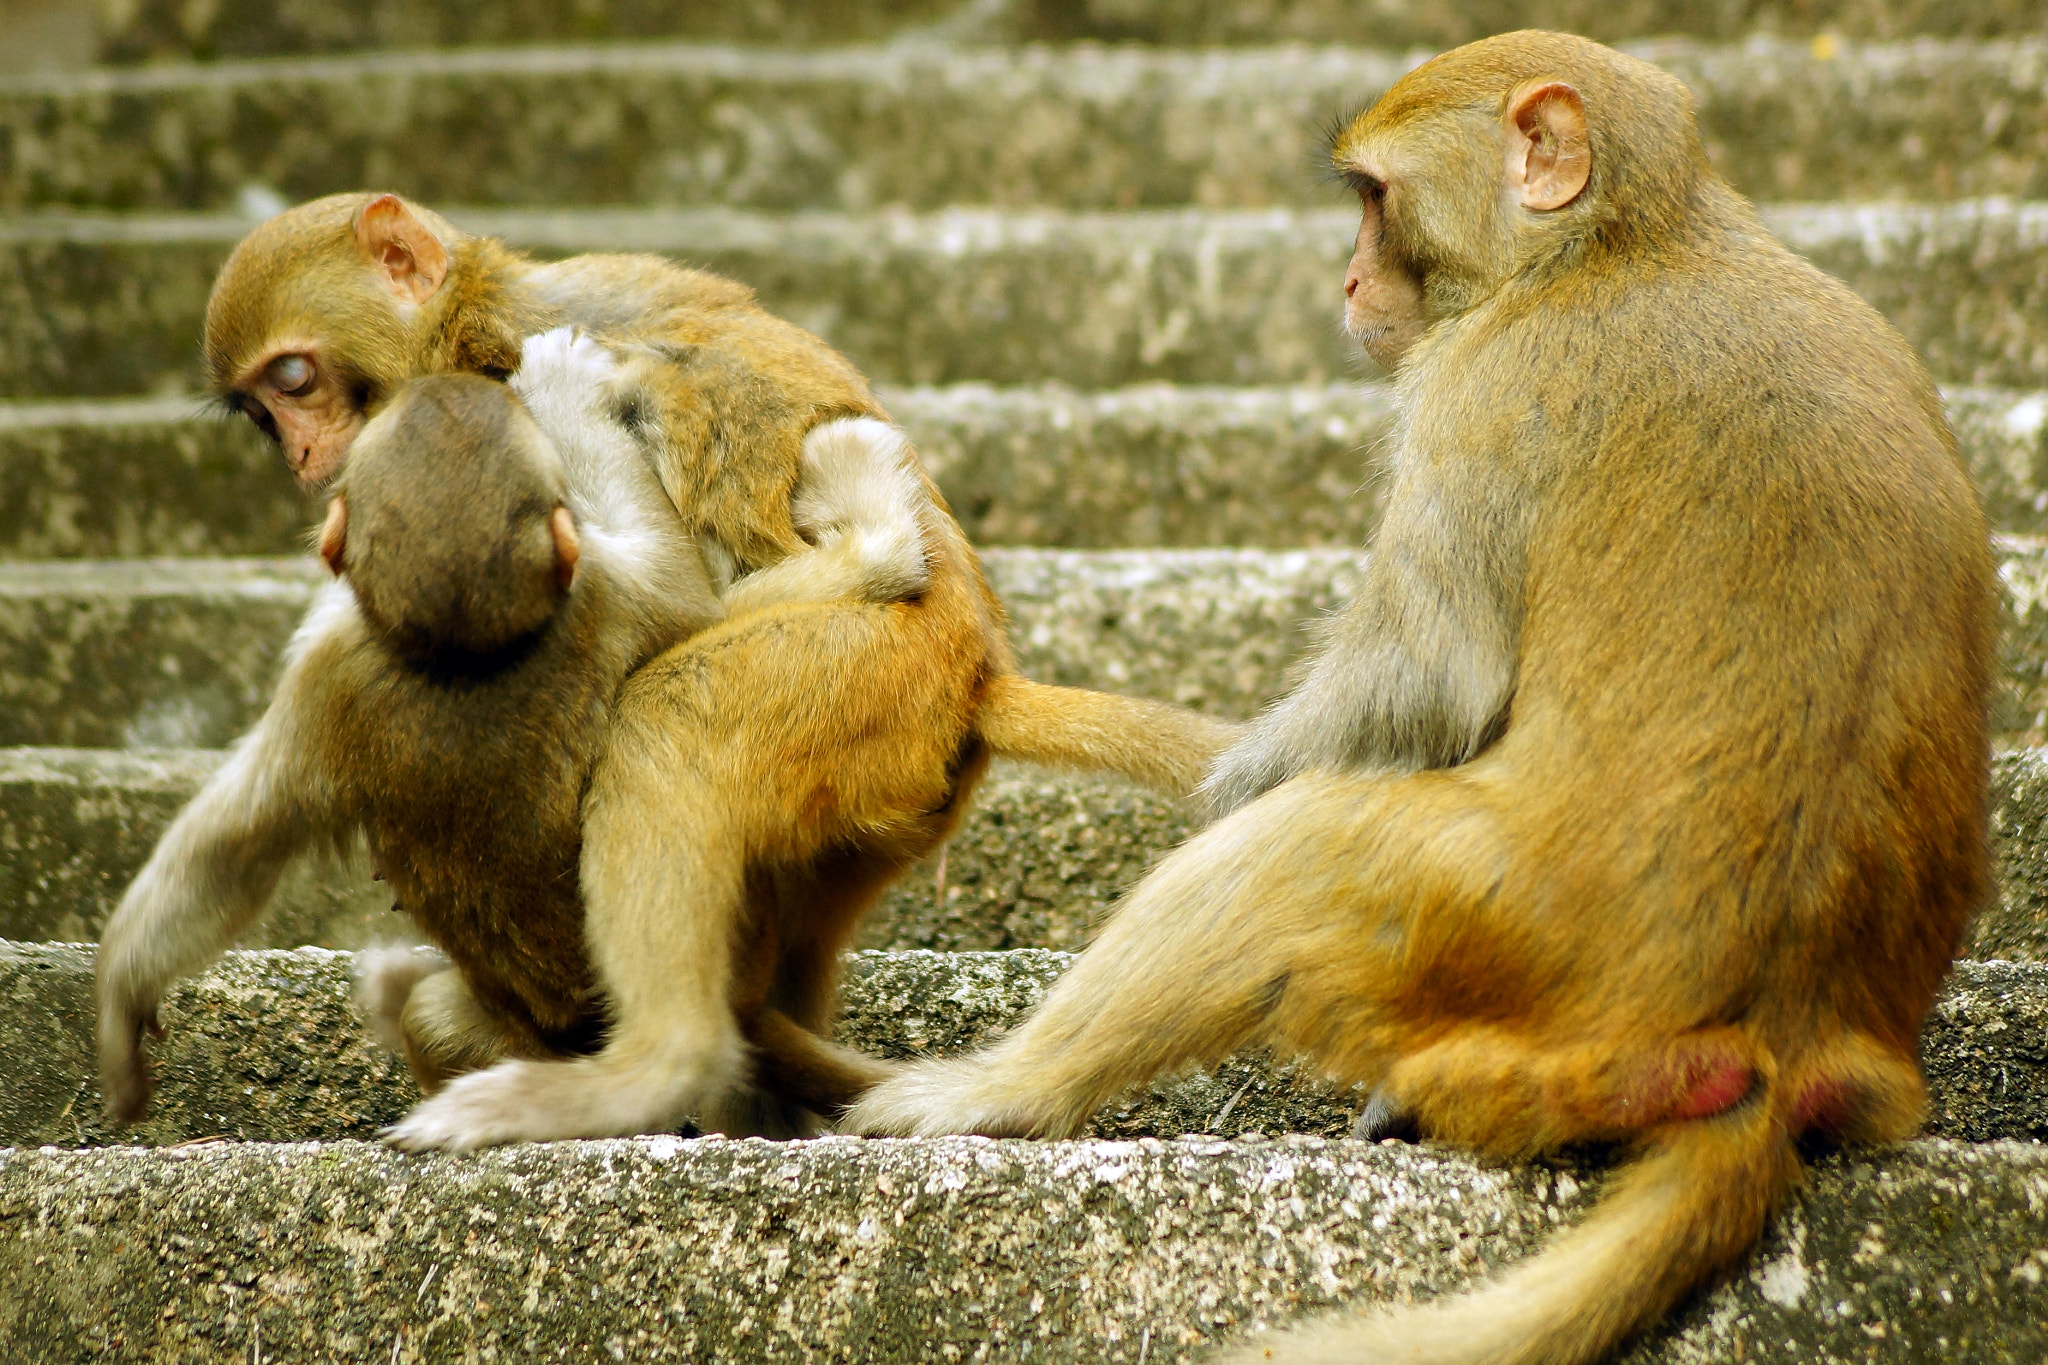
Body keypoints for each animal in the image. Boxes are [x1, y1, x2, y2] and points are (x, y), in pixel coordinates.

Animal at [103, 202, 1236, 1154]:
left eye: (295, 381)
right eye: (261, 411)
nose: (302, 454)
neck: (474, 317)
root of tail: (976, 668)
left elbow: (675, 591)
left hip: (863, 679)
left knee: (670, 714)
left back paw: (652, 1069)